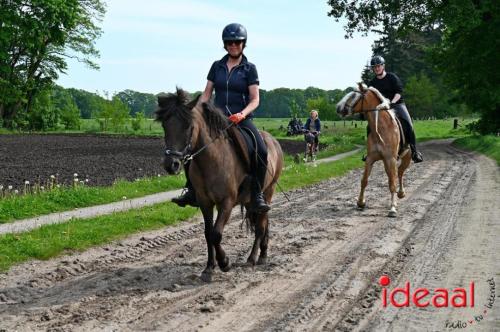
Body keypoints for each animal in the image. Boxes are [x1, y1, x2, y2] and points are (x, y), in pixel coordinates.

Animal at [154, 87, 284, 280]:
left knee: (261, 227)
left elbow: (216, 233)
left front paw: (225, 263)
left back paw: (254, 258)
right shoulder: (205, 202)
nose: (172, 165)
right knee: (263, 223)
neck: (212, 160)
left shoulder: (227, 202)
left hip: (268, 191)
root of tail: (273, 141)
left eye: (188, 126)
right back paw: (263, 253)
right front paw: (209, 268)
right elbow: (208, 234)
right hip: (250, 200)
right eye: (165, 126)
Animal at [336, 84, 410, 217]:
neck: (381, 128)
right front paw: (361, 202)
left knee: (400, 173)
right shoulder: (370, 158)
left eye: (354, 95)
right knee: (395, 174)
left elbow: (392, 183)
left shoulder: (391, 159)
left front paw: (392, 208)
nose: (338, 108)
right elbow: (364, 180)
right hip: (386, 162)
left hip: (406, 158)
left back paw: (401, 193)